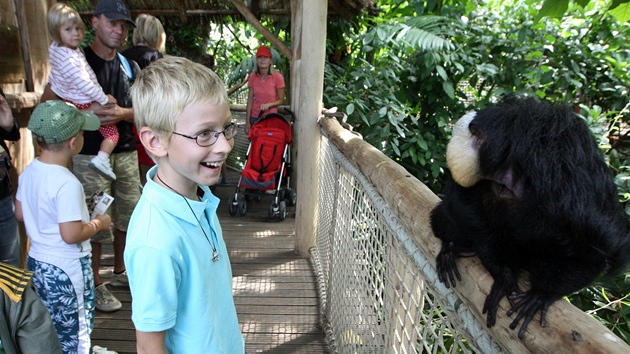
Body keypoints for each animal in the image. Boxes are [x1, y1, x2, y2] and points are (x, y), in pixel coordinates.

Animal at [430, 96, 630, 338]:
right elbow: (466, 209)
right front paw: (505, 275)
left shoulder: (569, 172)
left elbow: (594, 245)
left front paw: (543, 293)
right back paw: (455, 249)